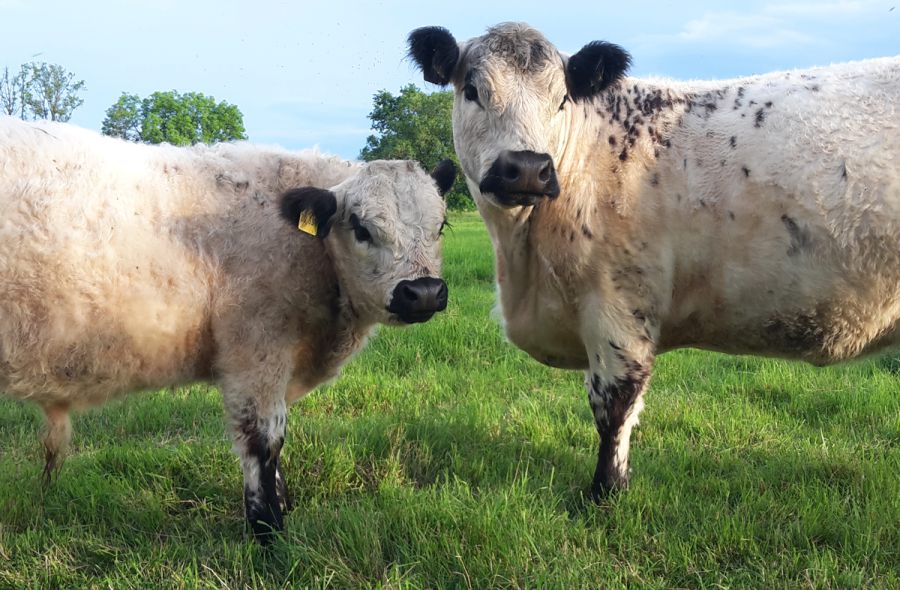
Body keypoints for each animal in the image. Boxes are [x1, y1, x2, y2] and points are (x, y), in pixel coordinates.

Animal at [0, 118, 454, 544]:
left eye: (441, 226)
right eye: (361, 228)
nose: (424, 292)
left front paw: (281, 506)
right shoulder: (256, 353)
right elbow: (265, 440)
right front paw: (268, 531)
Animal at [410, 22, 900, 500]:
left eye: (562, 98)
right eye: (472, 90)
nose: (527, 168)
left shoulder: (618, 309)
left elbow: (613, 407)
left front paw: (606, 491)